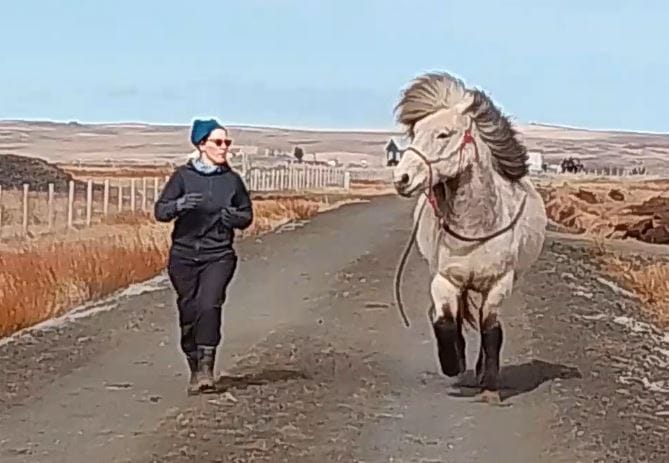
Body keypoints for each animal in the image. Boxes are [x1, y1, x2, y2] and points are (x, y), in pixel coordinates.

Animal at [391, 71, 547, 404]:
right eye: (416, 132)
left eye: (444, 134)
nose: (402, 179)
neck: (476, 228)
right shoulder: (446, 279)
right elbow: (445, 322)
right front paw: (454, 364)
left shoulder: (499, 283)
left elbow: (491, 330)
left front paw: (489, 384)